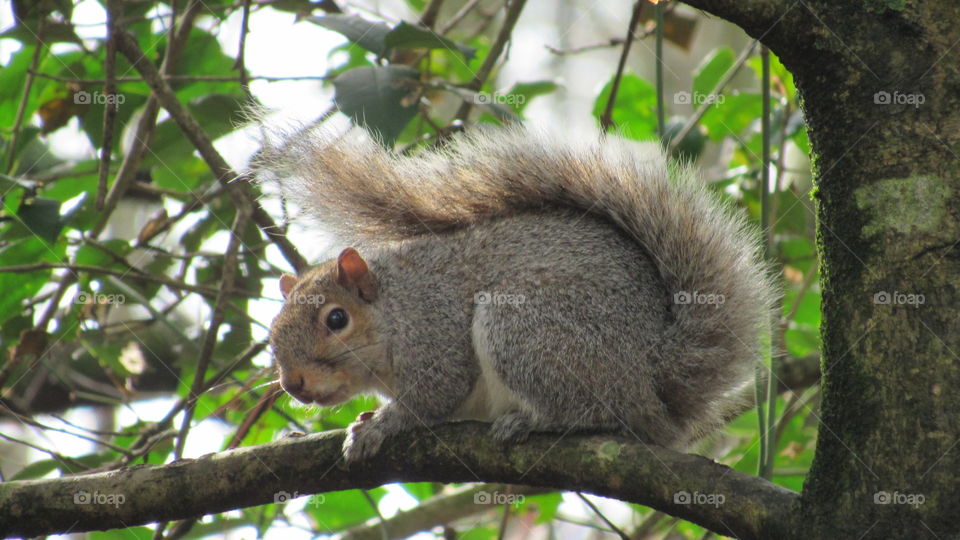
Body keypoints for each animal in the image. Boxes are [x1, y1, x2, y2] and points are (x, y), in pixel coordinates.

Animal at [258, 125, 776, 464]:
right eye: (273, 331)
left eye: (336, 319)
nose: (293, 384)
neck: (395, 308)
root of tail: (651, 374)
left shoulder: (434, 332)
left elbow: (433, 397)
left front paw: (380, 425)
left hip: (526, 330)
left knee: (593, 410)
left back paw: (532, 421)